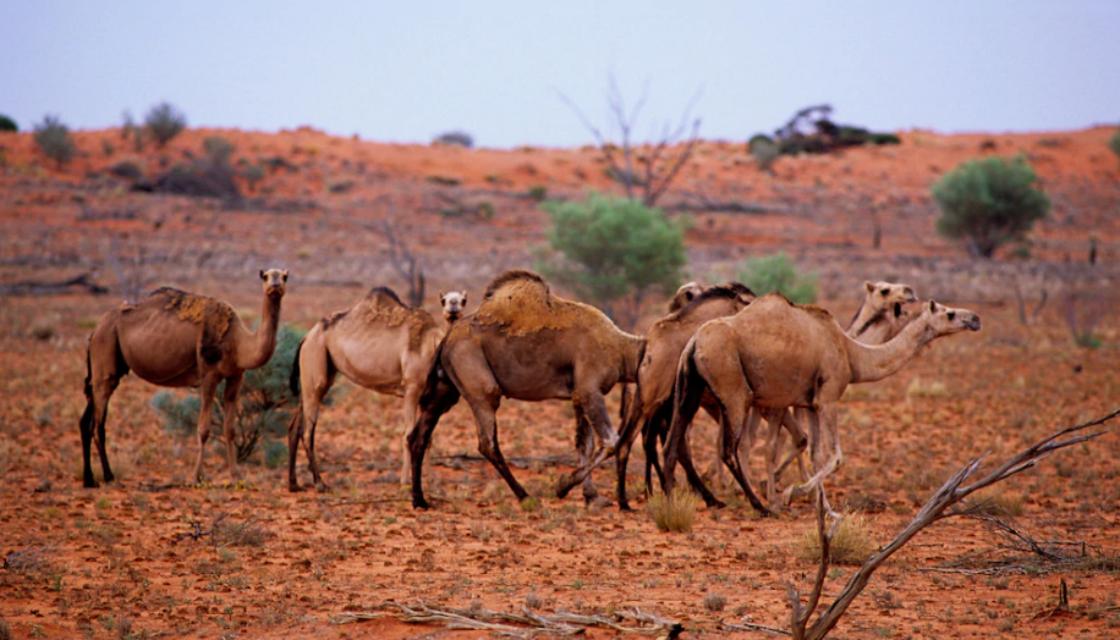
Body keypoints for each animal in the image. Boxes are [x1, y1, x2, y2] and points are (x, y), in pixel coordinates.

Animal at [80, 269, 288, 486]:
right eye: (265, 276)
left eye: (284, 276)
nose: (275, 285)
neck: (238, 342)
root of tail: (94, 330)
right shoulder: (208, 374)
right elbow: (203, 429)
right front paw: (197, 477)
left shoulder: (235, 376)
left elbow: (230, 429)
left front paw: (236, 476)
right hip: (105, 349)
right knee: (98, 422)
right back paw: (109, 476)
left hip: (105, 362)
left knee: (86, 419)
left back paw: (89, 479)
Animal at [288, 286, 468, 493]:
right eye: (444, 300)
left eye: (463, 300)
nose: (453, 307)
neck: (431, 346)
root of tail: (305, 337)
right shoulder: (412, 388)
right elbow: (409, 435)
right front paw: (405, 482)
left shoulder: (426, 398)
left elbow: (427, 438)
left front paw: (430, 481)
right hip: (315, 362)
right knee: (308, 431)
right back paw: (320, 483)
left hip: (313, 375)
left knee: (295, 427)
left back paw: (293, 484)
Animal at [407, 270, 645, 511]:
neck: (621, 349)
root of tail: (446, 340)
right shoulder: (590, 390)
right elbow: (611, 442)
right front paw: (563, 486)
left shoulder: (579, 395)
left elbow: (584, 444)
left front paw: (592, 496)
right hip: (480, 387)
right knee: (487, 443)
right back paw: (524, 495)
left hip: (445, 390)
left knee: (418, 437)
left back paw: (420, 500)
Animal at [663, 298, 981, 513]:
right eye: (950, 313)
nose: (975, 319)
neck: (852, 354)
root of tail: (694, 342)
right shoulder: (828, 398)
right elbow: (837, 456)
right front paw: (791, 493)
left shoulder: (812, 403)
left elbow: (816, 454)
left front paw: (822, 507)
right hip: (733, 389)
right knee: (729, 449)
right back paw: (759, 505)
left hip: (690, 389)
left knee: (674, 440)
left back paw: (676, 495)